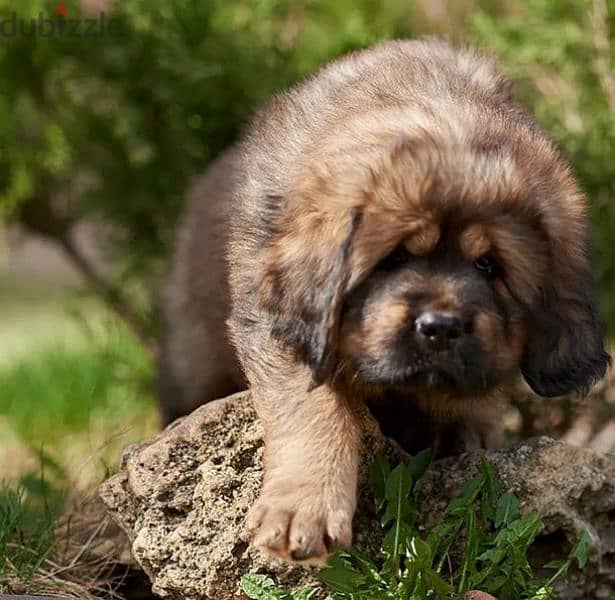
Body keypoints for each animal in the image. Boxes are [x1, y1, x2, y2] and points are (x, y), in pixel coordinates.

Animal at [160, 37, 612, 564]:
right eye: (394, 257)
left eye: (489, 266)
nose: (440, 328)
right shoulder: (280, 325)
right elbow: (314, 409)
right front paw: (304, 509)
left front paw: (470, 430)